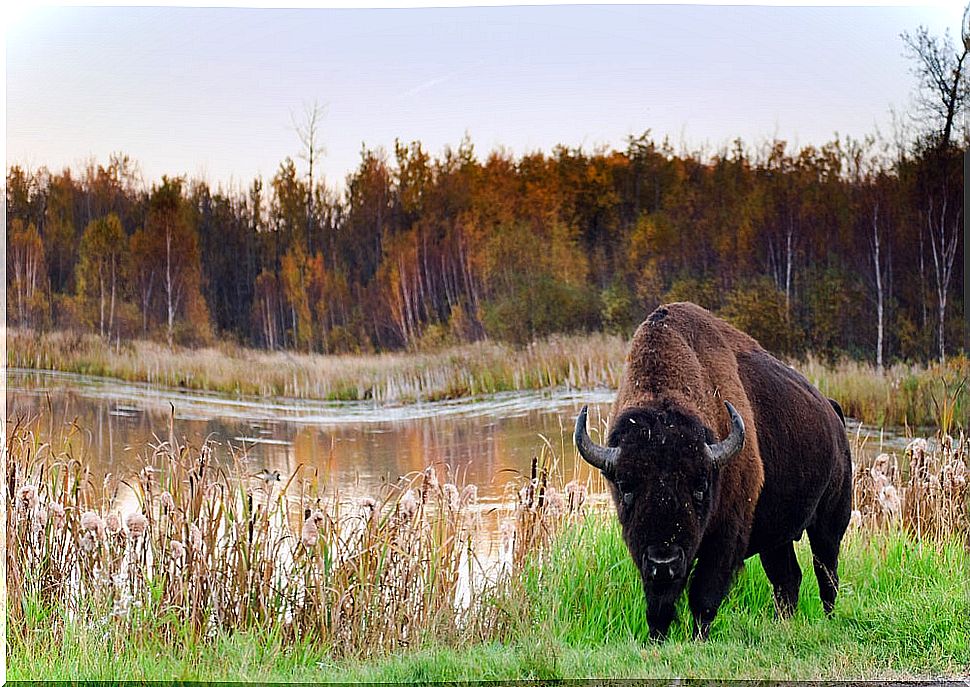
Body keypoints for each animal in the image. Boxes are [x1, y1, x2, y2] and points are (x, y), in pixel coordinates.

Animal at [576, 304, 848, 644]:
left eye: (700, 486)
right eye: (626, 486)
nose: (664, 561)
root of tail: (832, 410)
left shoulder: (724, 536)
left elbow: (704, 595)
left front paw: (698, 639)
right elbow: (659, 604)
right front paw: (656, 639)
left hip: (829, 522)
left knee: (826, 572)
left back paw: (828, 619)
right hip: (778, 537)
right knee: (788, 577)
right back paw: (782, 623)